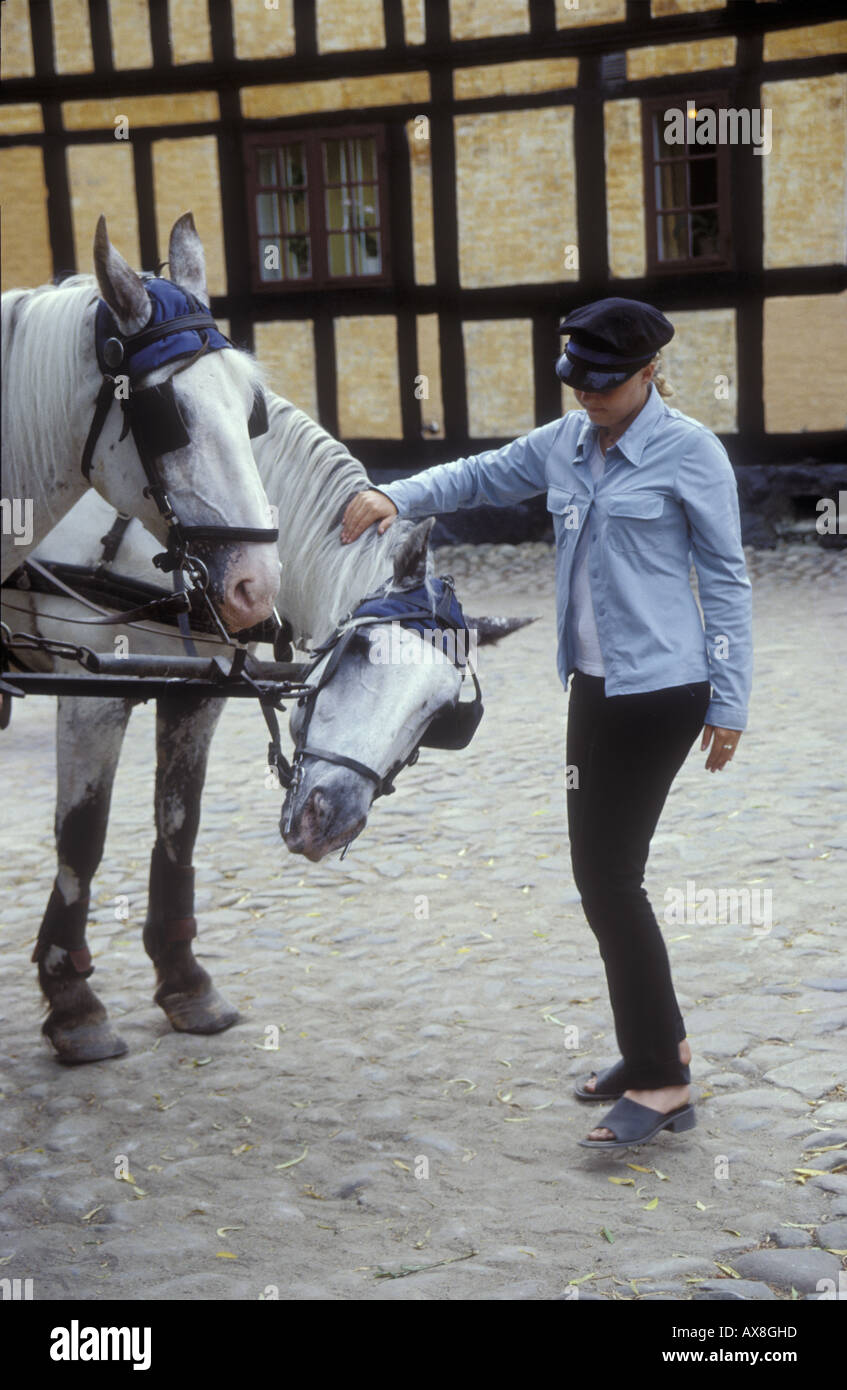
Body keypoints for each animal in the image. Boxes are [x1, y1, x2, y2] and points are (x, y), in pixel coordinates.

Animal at [3, 391, 514, 1061]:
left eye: (442, 716)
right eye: (359, 650)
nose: (329, 819)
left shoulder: (195, 693)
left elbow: (180, 827)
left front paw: (186, 984)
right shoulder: (92, 691)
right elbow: (81, 839)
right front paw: (73, 1004)